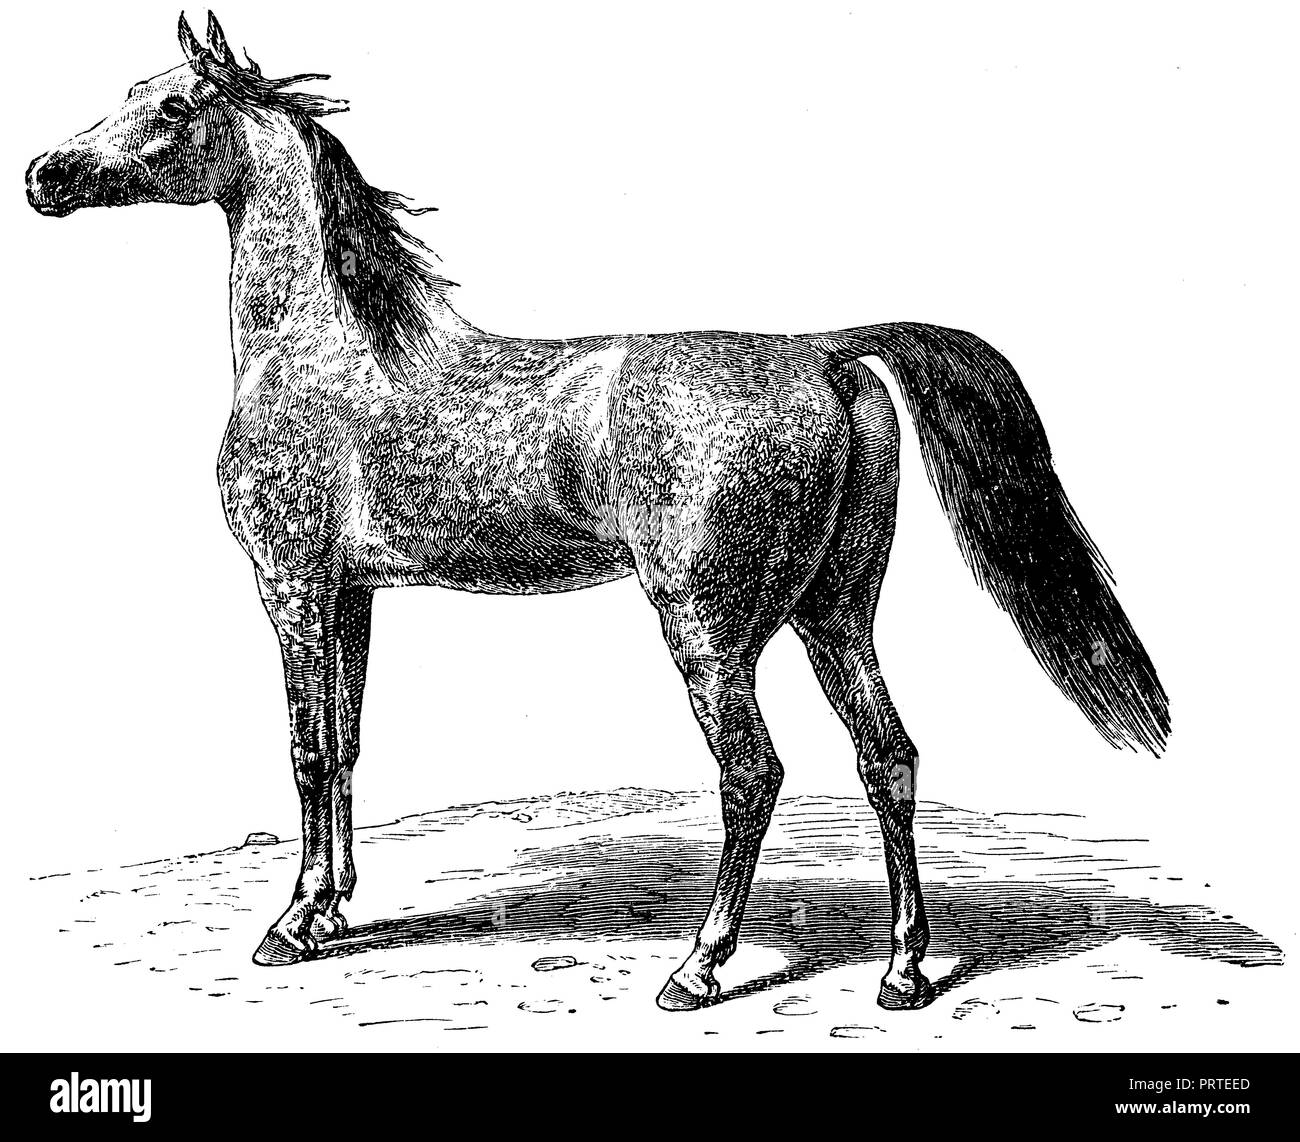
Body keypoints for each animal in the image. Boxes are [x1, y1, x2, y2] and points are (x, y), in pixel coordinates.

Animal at [26, 13, 1169, 1012]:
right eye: (128, 92)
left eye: (174, 106)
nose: (45, 176)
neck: (323, 350)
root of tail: (825, 353)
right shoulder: (351, 592)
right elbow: (346, 747)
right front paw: (336, 910)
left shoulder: (291, 585)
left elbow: (306, 752)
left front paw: (293, 924)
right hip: (835, 615)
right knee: (887, 758)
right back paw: (902, 971)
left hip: (709, 630)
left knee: (752, 773)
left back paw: (699, 968)